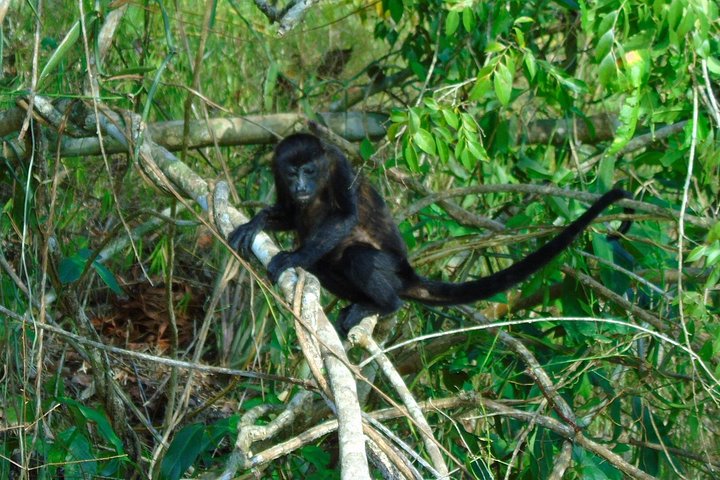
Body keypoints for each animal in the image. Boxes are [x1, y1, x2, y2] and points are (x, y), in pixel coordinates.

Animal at [229, 133, 631, 335]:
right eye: (291, 171)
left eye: (309, 170)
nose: (300, 185)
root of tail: (408, 274)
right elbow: (285, 214)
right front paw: (255, 223)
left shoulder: (339, 166)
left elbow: (344, 217)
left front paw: (293, 256)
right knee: (327, 267)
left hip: (392, 268)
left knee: (359, 256)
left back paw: (382, 304)